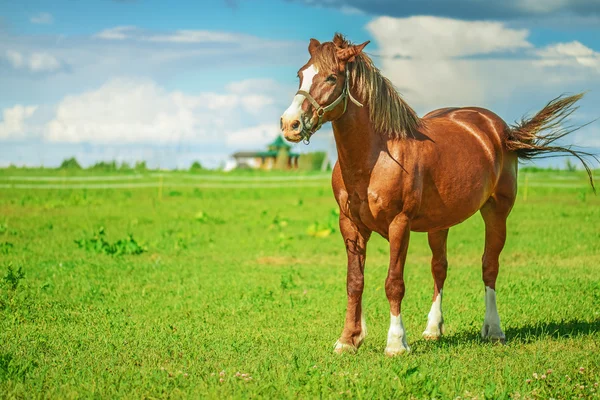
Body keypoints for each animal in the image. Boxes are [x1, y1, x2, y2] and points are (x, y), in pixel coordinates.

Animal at [280, 32, 596, 354]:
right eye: (301, 74)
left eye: (331, 77)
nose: (290, 124)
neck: (375, 158)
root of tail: (499, 130)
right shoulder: (350, 225)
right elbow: (355, 282)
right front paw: (348, 340)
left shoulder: (399, 224)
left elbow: (394, 283)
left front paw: (396, 343)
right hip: (439, 224)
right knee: (439, 268)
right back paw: (433, 329)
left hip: (496, 212)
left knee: (489, 267)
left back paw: (494, 330)